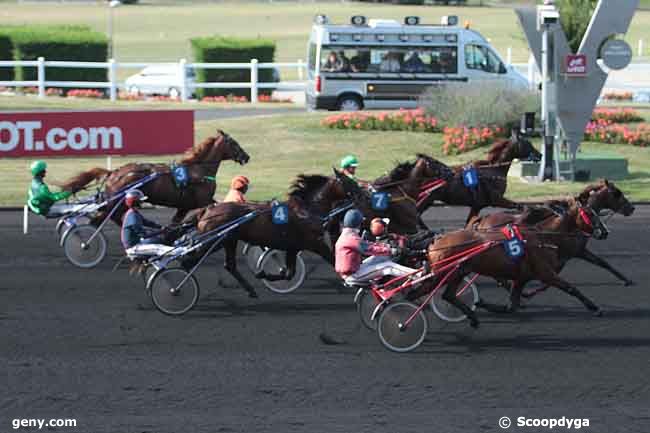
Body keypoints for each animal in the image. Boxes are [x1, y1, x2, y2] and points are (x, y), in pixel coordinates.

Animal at [60, 128, 248, 223]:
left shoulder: (184, 206)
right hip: (116, 202)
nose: (246, 157)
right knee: (105, 218)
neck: (198, 171)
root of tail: (113, 173)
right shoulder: (203, 201)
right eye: (234, 143)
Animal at [187, 172, 350, 296]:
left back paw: (250, 290)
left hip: (228, 241)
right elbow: (332, 259)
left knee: (229, 265)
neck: (306, 211)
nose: (357, 196)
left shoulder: (292, 247)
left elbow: (288, 272)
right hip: (215, 241)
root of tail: (207, 210)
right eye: (348, 182)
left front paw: (263, 274)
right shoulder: (315, 243)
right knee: (191, 259)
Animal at [412, 130, 540, 226]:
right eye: (527, 143)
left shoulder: (477, 206)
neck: (494, 169)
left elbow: (469, 223)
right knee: (416, 215)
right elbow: (522, 206)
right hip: (426, 198)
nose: (540, 155)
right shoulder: (497, 200)